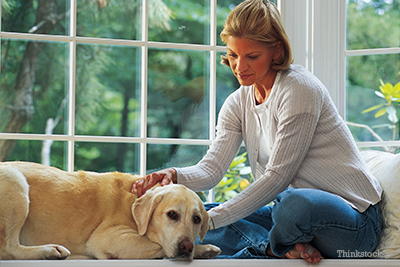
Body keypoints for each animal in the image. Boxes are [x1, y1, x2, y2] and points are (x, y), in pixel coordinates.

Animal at [0, 162, 222, 260]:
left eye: (196, 219)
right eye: (172, 215)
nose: (186, 247)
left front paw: (202, 249)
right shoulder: (109, 238)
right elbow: (158, 246)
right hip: (15, 181)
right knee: (9, 248)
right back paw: (49, 251)